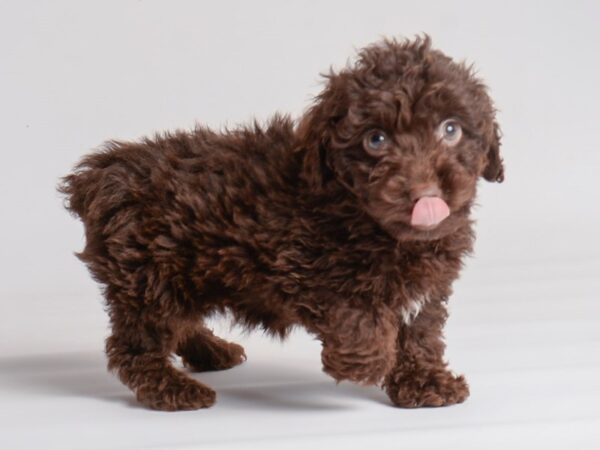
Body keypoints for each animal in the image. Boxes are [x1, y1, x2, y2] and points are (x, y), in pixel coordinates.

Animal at [59, 37, 502, 412]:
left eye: (450, 129)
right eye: (375, 140)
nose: (425, 191)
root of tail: (101, 174)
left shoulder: (426, 289)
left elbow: (421, 335)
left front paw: (425, 384)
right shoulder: (299, 260)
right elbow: (356, 315)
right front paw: (364, 363)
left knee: (179, 323)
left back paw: (210, 352)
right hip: (148, 277)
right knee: (135, 346)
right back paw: (173, 389)